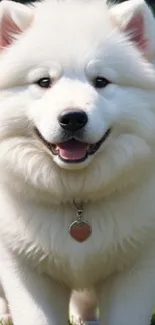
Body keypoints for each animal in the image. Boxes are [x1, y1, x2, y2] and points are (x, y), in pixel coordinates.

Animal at [0, 0, 155, 322]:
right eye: (43, 82)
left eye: (101, 81)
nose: (72, 117)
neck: (76, 197)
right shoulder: (24, 268)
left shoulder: (137, 266)